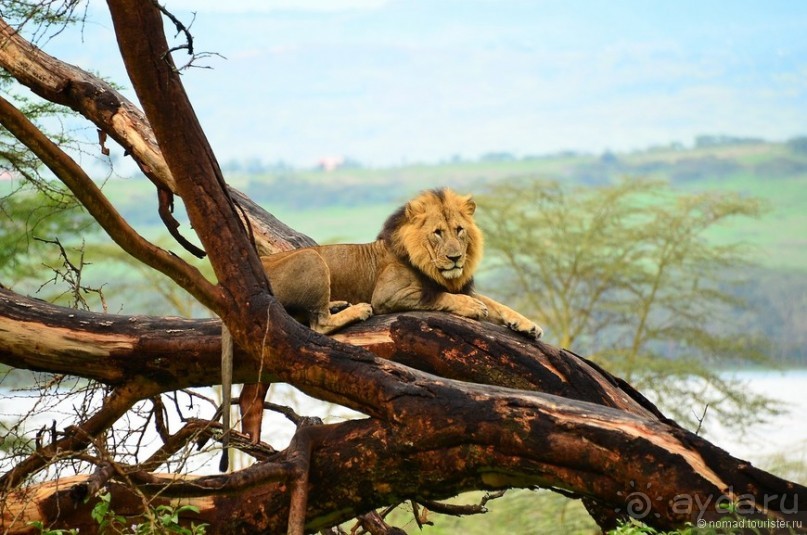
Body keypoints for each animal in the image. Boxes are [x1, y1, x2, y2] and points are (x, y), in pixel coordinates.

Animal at [240, 186, 544, 442]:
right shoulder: (390, 294)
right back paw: (356, 309)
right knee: (319, 324)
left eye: (459, 230)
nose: (455, 258)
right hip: (311, 259)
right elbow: (443, 298)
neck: (430, 265)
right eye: (437, 232)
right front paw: (471, 308)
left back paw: (339, 304)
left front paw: (527, 325)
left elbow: (496, 304)